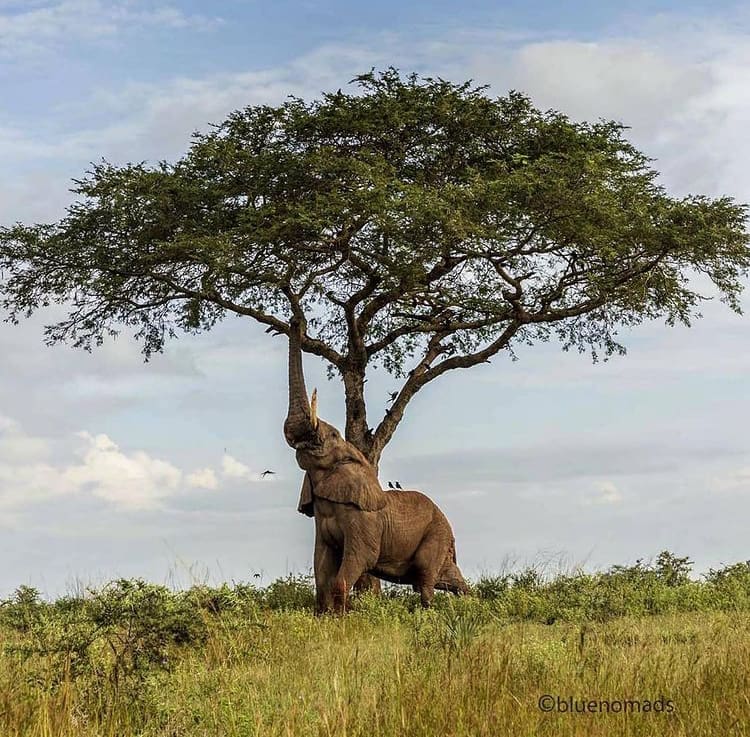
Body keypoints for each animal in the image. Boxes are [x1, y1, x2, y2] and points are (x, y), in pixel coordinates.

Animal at [283, 318, 469, 613]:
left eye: (333, 435)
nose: (296, 321)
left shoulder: (364, 519)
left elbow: (359, 559)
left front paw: (341, 618)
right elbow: (322, 567)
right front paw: (324, 617)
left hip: (435, 535)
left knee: (426, 579)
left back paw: (430, 611)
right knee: (448, 577)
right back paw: (472, 601)